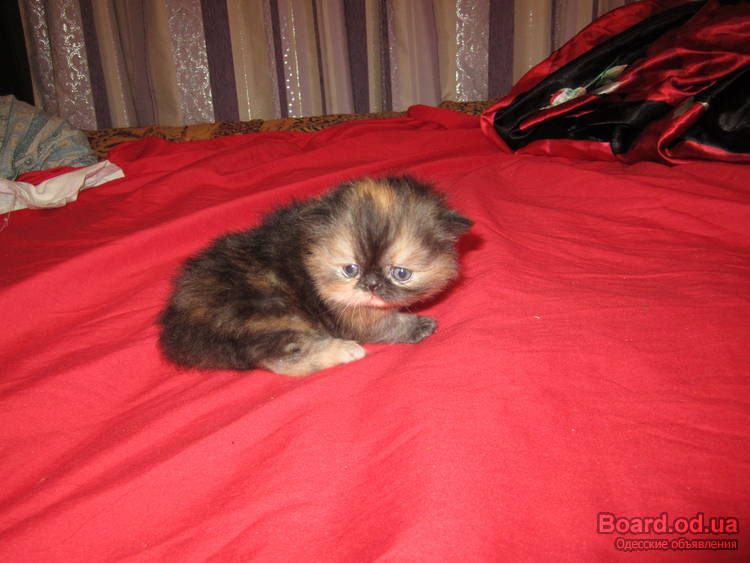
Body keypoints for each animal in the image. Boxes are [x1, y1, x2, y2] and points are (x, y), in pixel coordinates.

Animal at [158, 175, 472, 376]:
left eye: (401, 273)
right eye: (350, 270)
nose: (371, 284)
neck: (311, 251)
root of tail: (180, 321)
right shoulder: (349, 312)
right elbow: (385, 325)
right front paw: (419, 326)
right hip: (268, 310)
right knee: (280, 359)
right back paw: (345, 351)